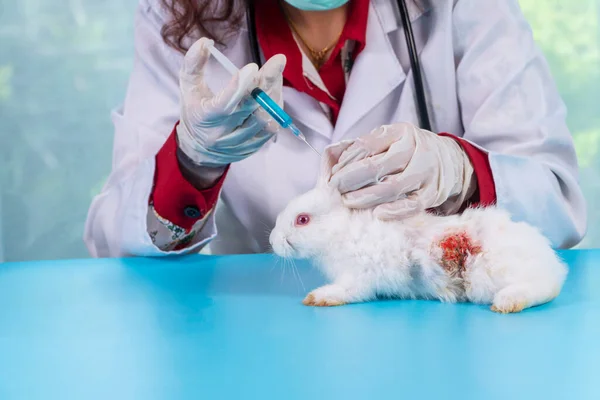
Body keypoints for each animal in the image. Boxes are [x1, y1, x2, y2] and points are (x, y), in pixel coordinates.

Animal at [270, 144, 568, 312]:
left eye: (302, 219)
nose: (273, 241)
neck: (340, 234)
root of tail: (552, 264)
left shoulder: (359, 276)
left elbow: (347, 291)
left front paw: (318, 297)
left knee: (542, 289)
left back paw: (507, 303)